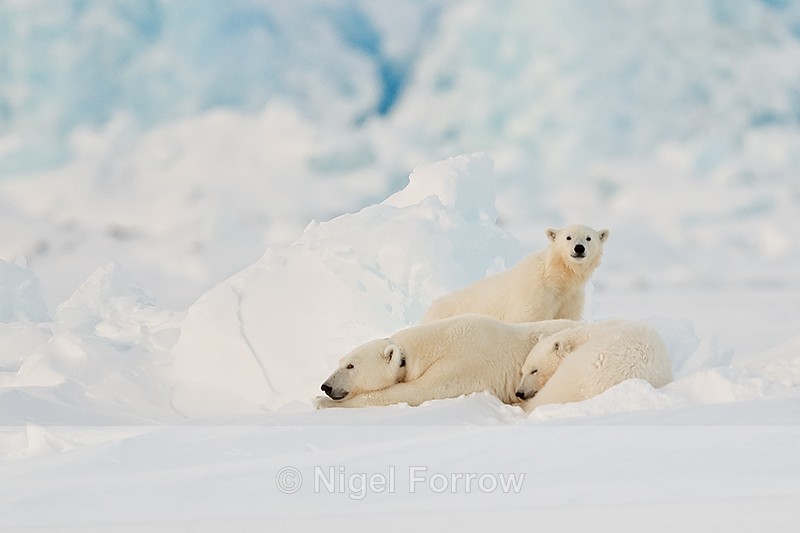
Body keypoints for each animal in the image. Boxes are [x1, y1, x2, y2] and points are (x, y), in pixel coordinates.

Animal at [316, 314, 581, 409]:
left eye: (350, 366)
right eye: (340, 361)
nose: (326, 386)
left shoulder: (463, 364)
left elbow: (416, 392)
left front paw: (321, 402)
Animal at [421, 224, 609, 324]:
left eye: (589, 238)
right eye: (568, 237)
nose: (579, 248)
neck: (557, 278)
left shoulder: (570, 299)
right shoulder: (534, 295)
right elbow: (526, 319)